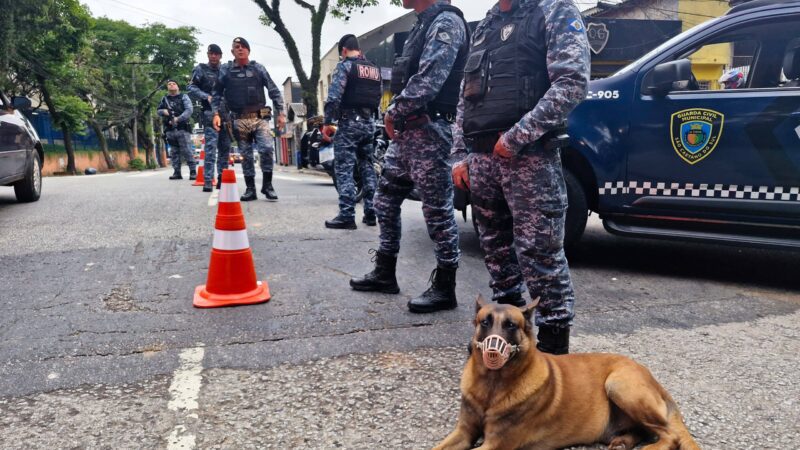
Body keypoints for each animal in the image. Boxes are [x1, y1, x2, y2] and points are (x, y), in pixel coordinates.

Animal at [432, 296, 700, 450]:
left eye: (511, 325)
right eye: (484, 322)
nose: (492, 354)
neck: (491, 384)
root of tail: (650, 375)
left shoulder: (495, 444)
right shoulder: (463, 432)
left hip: (619, 384)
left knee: (670, 435)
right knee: (645, 431)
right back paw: (622, 442)